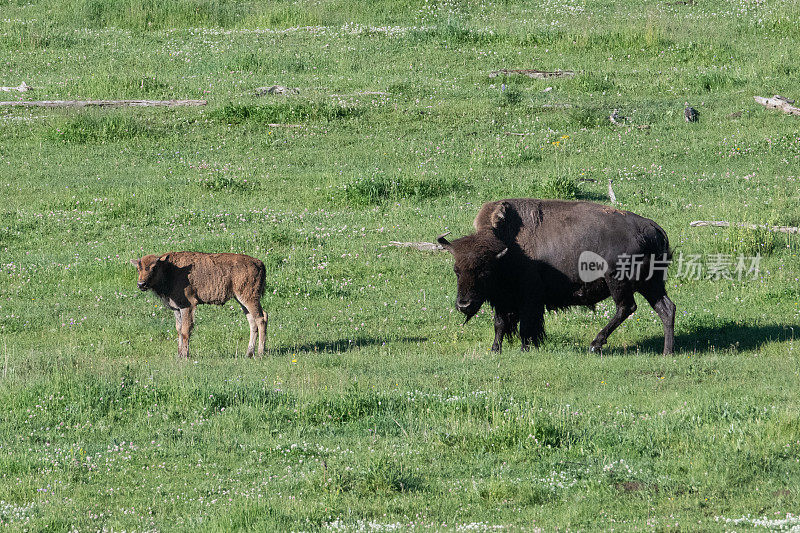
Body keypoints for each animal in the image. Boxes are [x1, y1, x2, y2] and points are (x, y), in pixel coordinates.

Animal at [130, 251, 268, 360]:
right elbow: (179, 329)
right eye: (138, 268)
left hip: (249, 298)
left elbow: (185, 330)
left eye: (154, 267)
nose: (141, 284)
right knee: (253, 321)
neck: (169, 269)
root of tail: (260, 263)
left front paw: (185, 355)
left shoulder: (188, 306)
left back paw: (260, 353)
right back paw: (249, 353)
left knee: (261, 318)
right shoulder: (177, 308)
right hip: (241, 300)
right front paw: (179, 355)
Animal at [438, 198, 676, 354]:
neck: (505, 249)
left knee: (626, 307)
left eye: (484, 271)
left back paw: (595, 344)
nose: (464, 304)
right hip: (651, 283)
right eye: (456, 270)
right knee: (666, 308)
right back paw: (667, 352)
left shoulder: (529, 298)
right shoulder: (504, 300)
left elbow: (526, 326)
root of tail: (652, 228)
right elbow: (500, 324)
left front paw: (525, 348)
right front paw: (495, 349)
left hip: (618, 281)